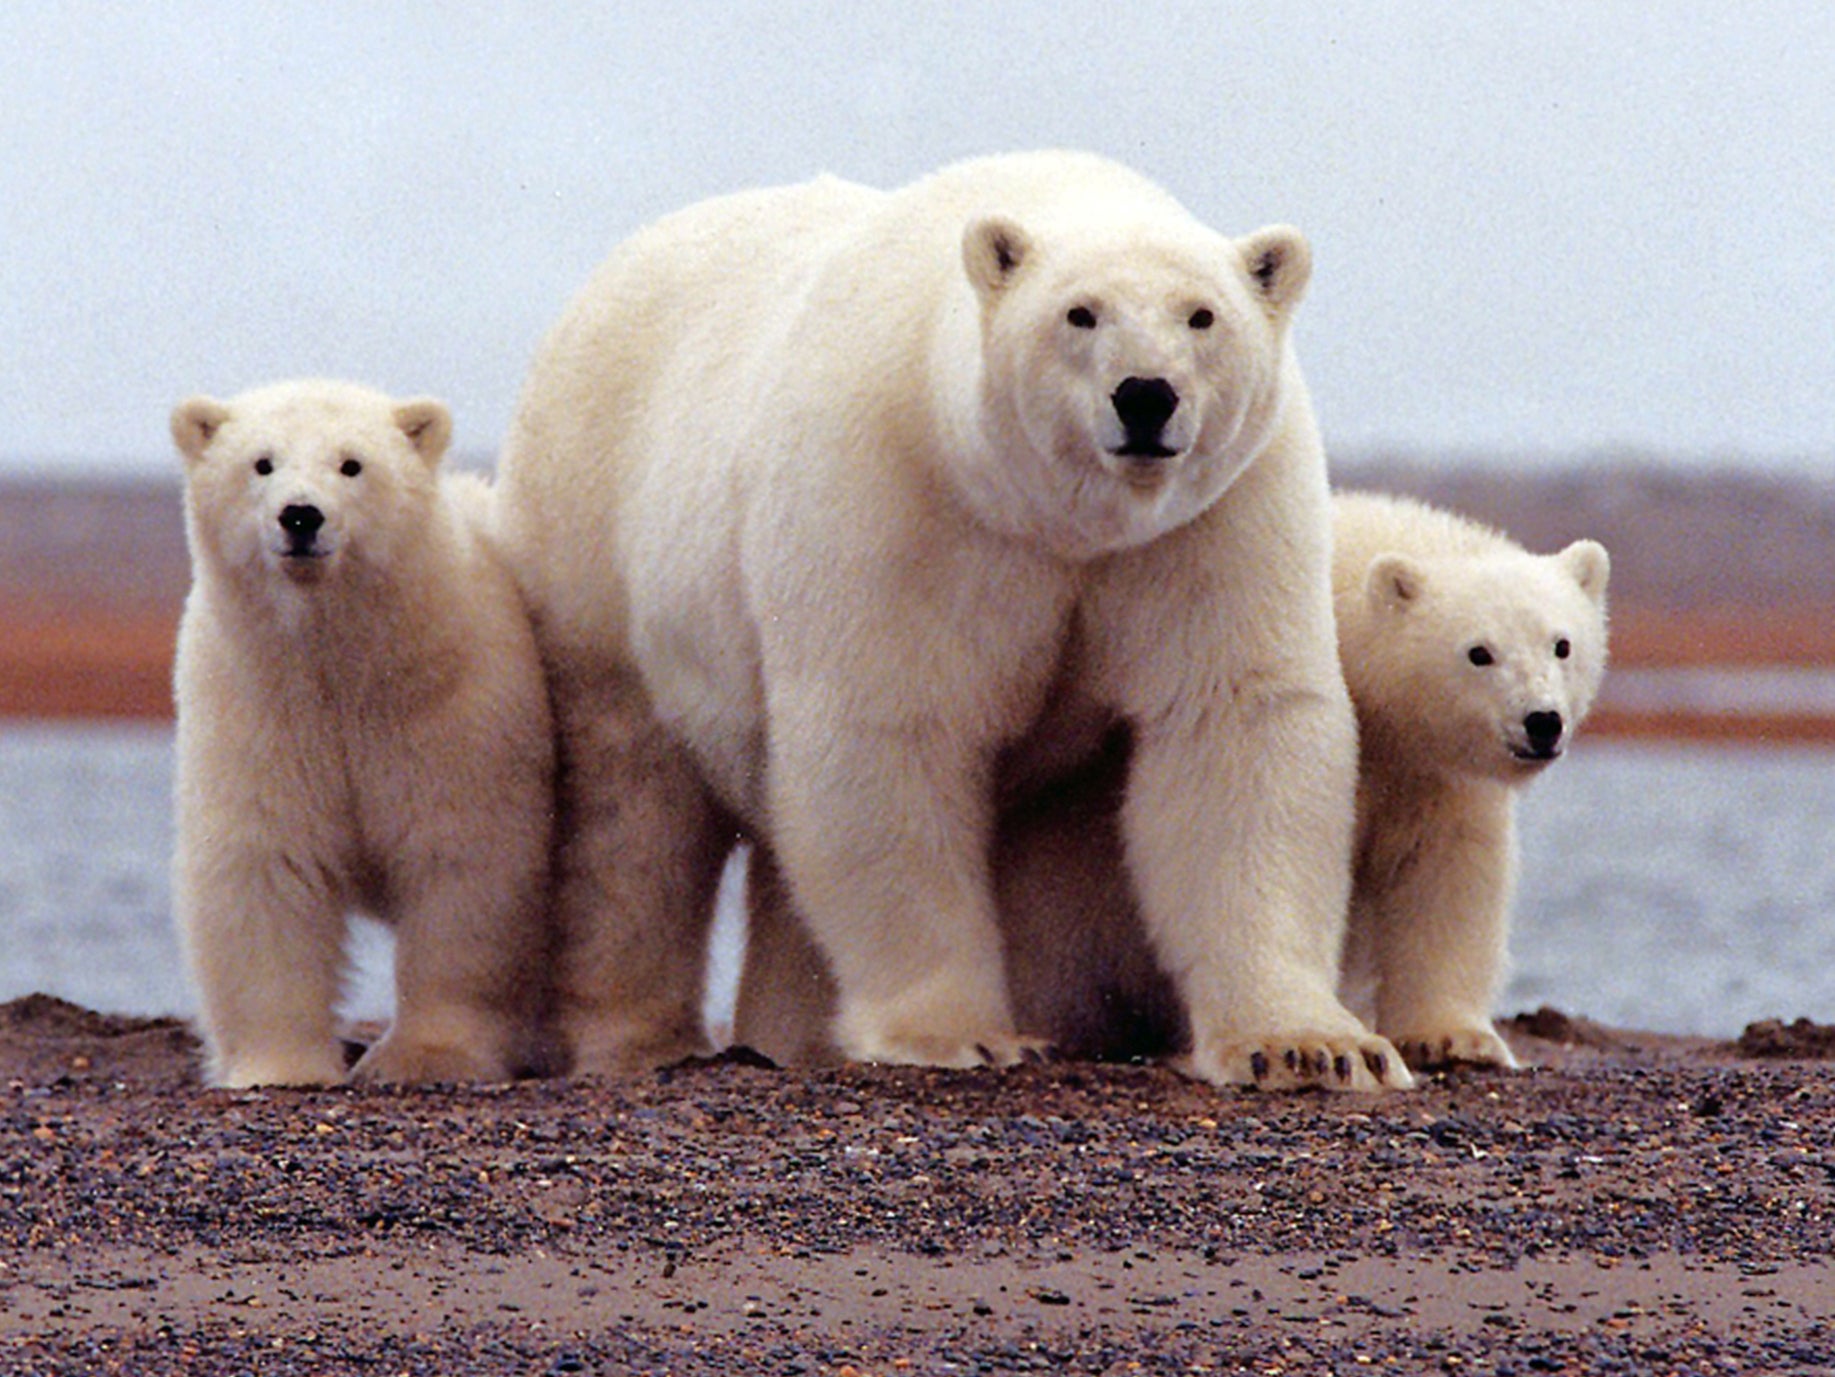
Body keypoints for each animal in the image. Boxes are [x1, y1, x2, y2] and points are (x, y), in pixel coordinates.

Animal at [170, 379, 556, 1088]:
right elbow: (266, 868)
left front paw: (426, 1057)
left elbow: (463, 866)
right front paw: (281, 1066)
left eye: (352, 464)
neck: (344, 667)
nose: (300, 516)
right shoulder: (258, 710)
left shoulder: (452, 711)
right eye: (261, 463)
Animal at [497, 150, 1409, 1091]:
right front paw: (960, 1032)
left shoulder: (1211, 520)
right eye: (1079, 313)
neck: (1054, 520)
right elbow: (891, 732)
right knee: (631, 812)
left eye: (1202, 315)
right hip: (595, 541)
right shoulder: (899, 499)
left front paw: (1311, 1045)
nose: (1145, 396)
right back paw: (637, 1037)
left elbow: (1233, 723)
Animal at [741, 491, 1607, 1076]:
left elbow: (1447, 875)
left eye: (1561, 643)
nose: (1540, 722)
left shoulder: (1429, 772)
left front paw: (1453, 1036)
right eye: (1477, 651)